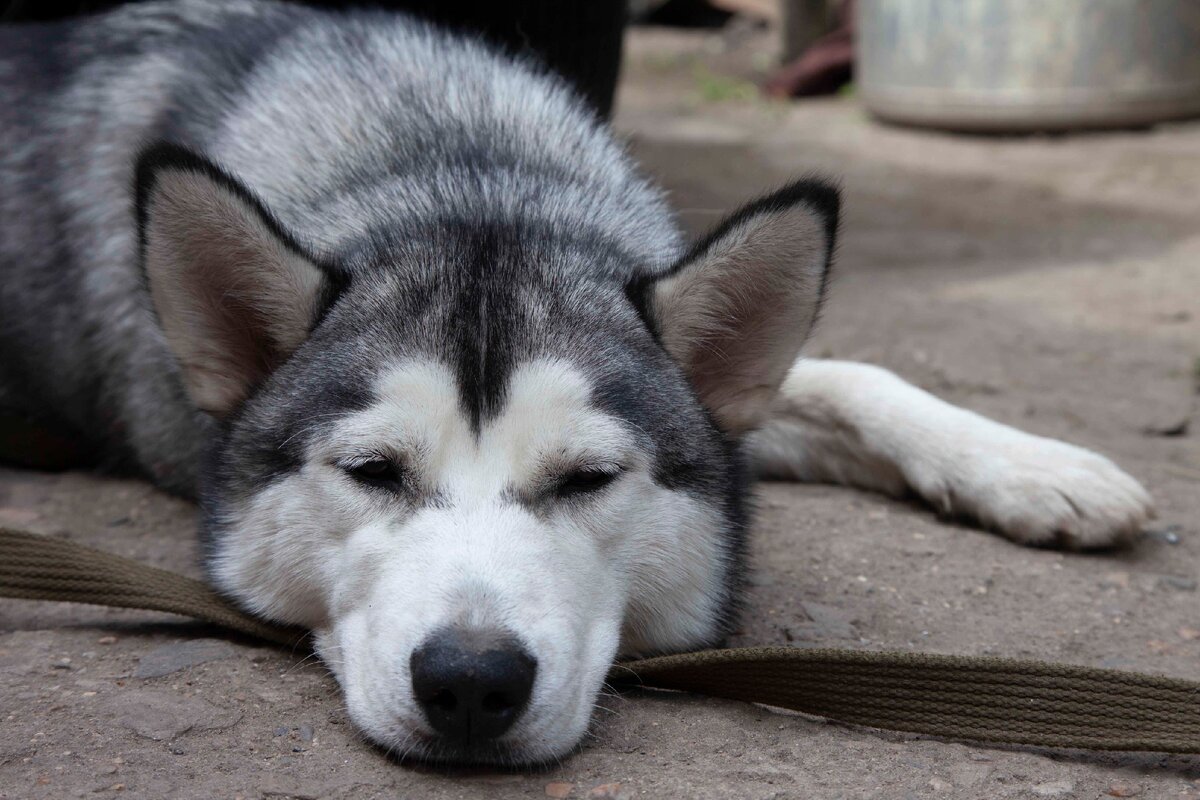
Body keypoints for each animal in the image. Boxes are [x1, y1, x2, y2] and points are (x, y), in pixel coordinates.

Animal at [0, 0, 1152, 762]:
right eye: (372, 471)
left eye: (589, 478)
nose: (471, 682)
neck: (458, 166)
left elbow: (851, 374)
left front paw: (1036, 468)